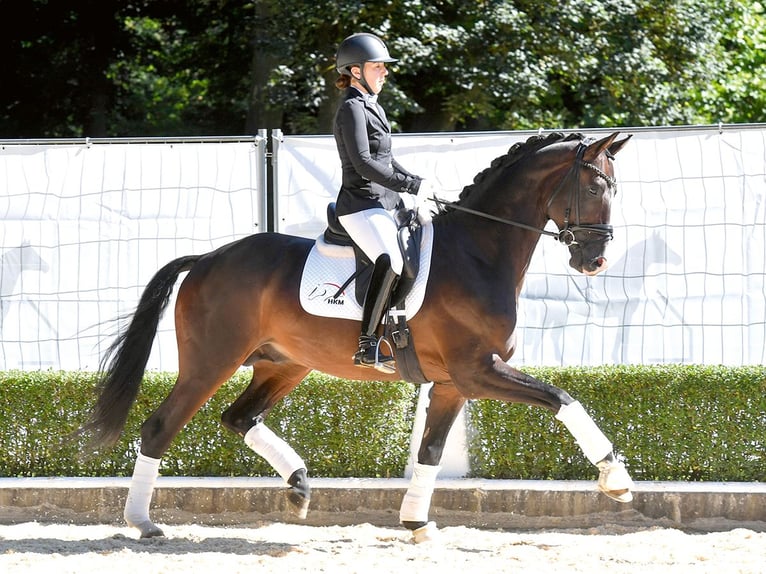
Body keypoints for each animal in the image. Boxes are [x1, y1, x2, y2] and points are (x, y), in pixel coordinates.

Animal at [82, 132, 636, 544]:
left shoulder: (454, 383)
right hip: (211, 361)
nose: (595, 261)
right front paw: (616, 480)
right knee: (160, 427)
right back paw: (143, 522)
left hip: (285, 363)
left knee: (239, 418)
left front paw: (416, 522)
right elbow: (563, 398)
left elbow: (431, 451)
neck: (478, 252)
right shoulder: (478, 370)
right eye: (593, 189)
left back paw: (299, 485)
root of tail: (207, 259)